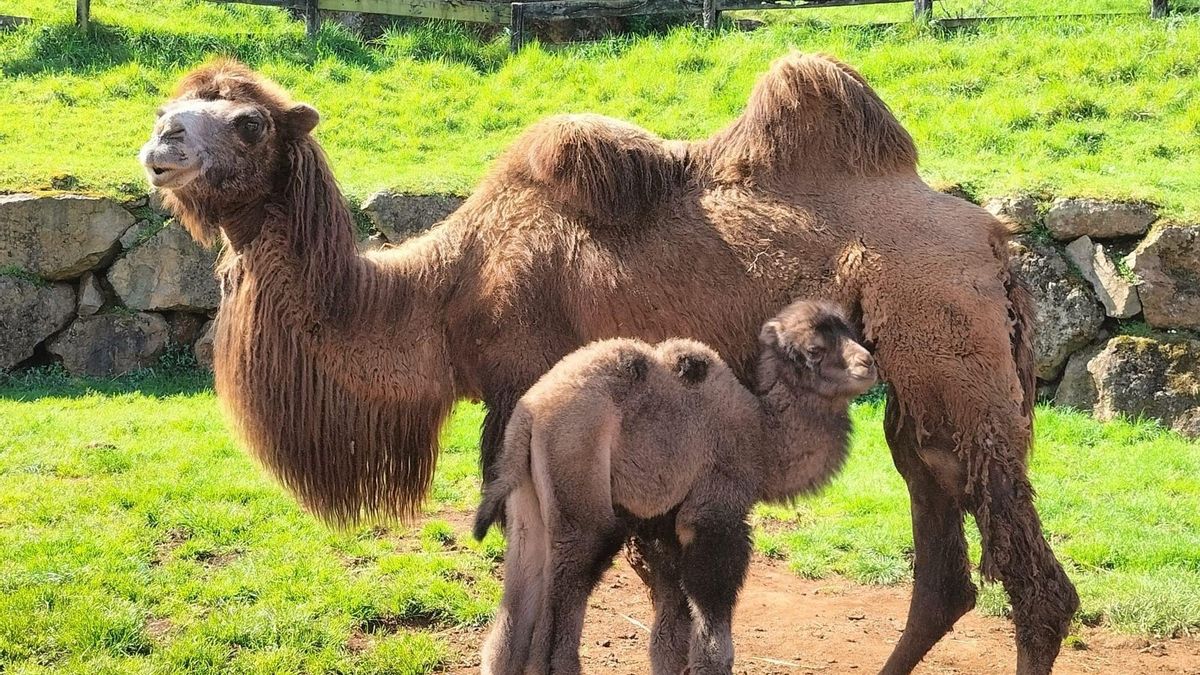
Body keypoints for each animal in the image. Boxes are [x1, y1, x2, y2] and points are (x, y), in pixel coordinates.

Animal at [472, 300, 877, 675]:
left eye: (851, 332)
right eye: (814, 350)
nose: (868, 363)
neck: (762, 435)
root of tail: (529, 415)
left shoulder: (665, 521)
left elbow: (670, 621)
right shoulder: (715, 509)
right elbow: (711, 597)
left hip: (527, 499)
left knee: (521, 582)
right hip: (581, 489)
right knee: (571, 580)